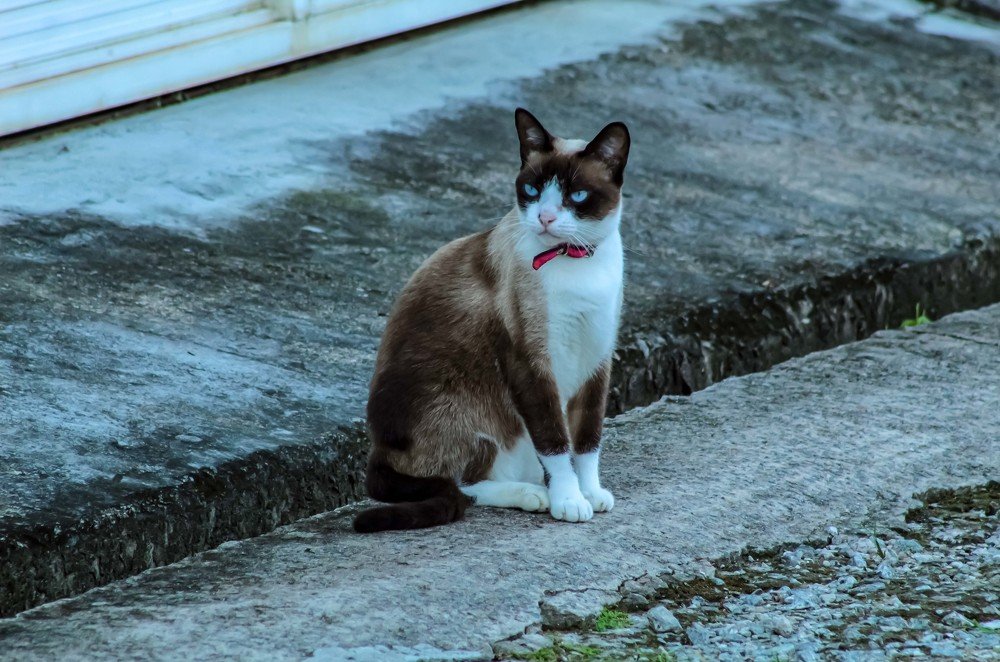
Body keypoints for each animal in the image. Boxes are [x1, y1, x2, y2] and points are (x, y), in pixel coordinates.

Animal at [353, 108, 629, 533]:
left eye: (577, 195)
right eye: (531, 190)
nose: (545, 218)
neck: (576, 259)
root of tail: (378, 451)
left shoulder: (597, 356)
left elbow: (587, 439)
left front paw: (591, 493)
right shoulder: (531, 362)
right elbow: (555, 441)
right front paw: (569, 501)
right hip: (465, 411)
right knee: (462, 485)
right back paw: (536, 495)